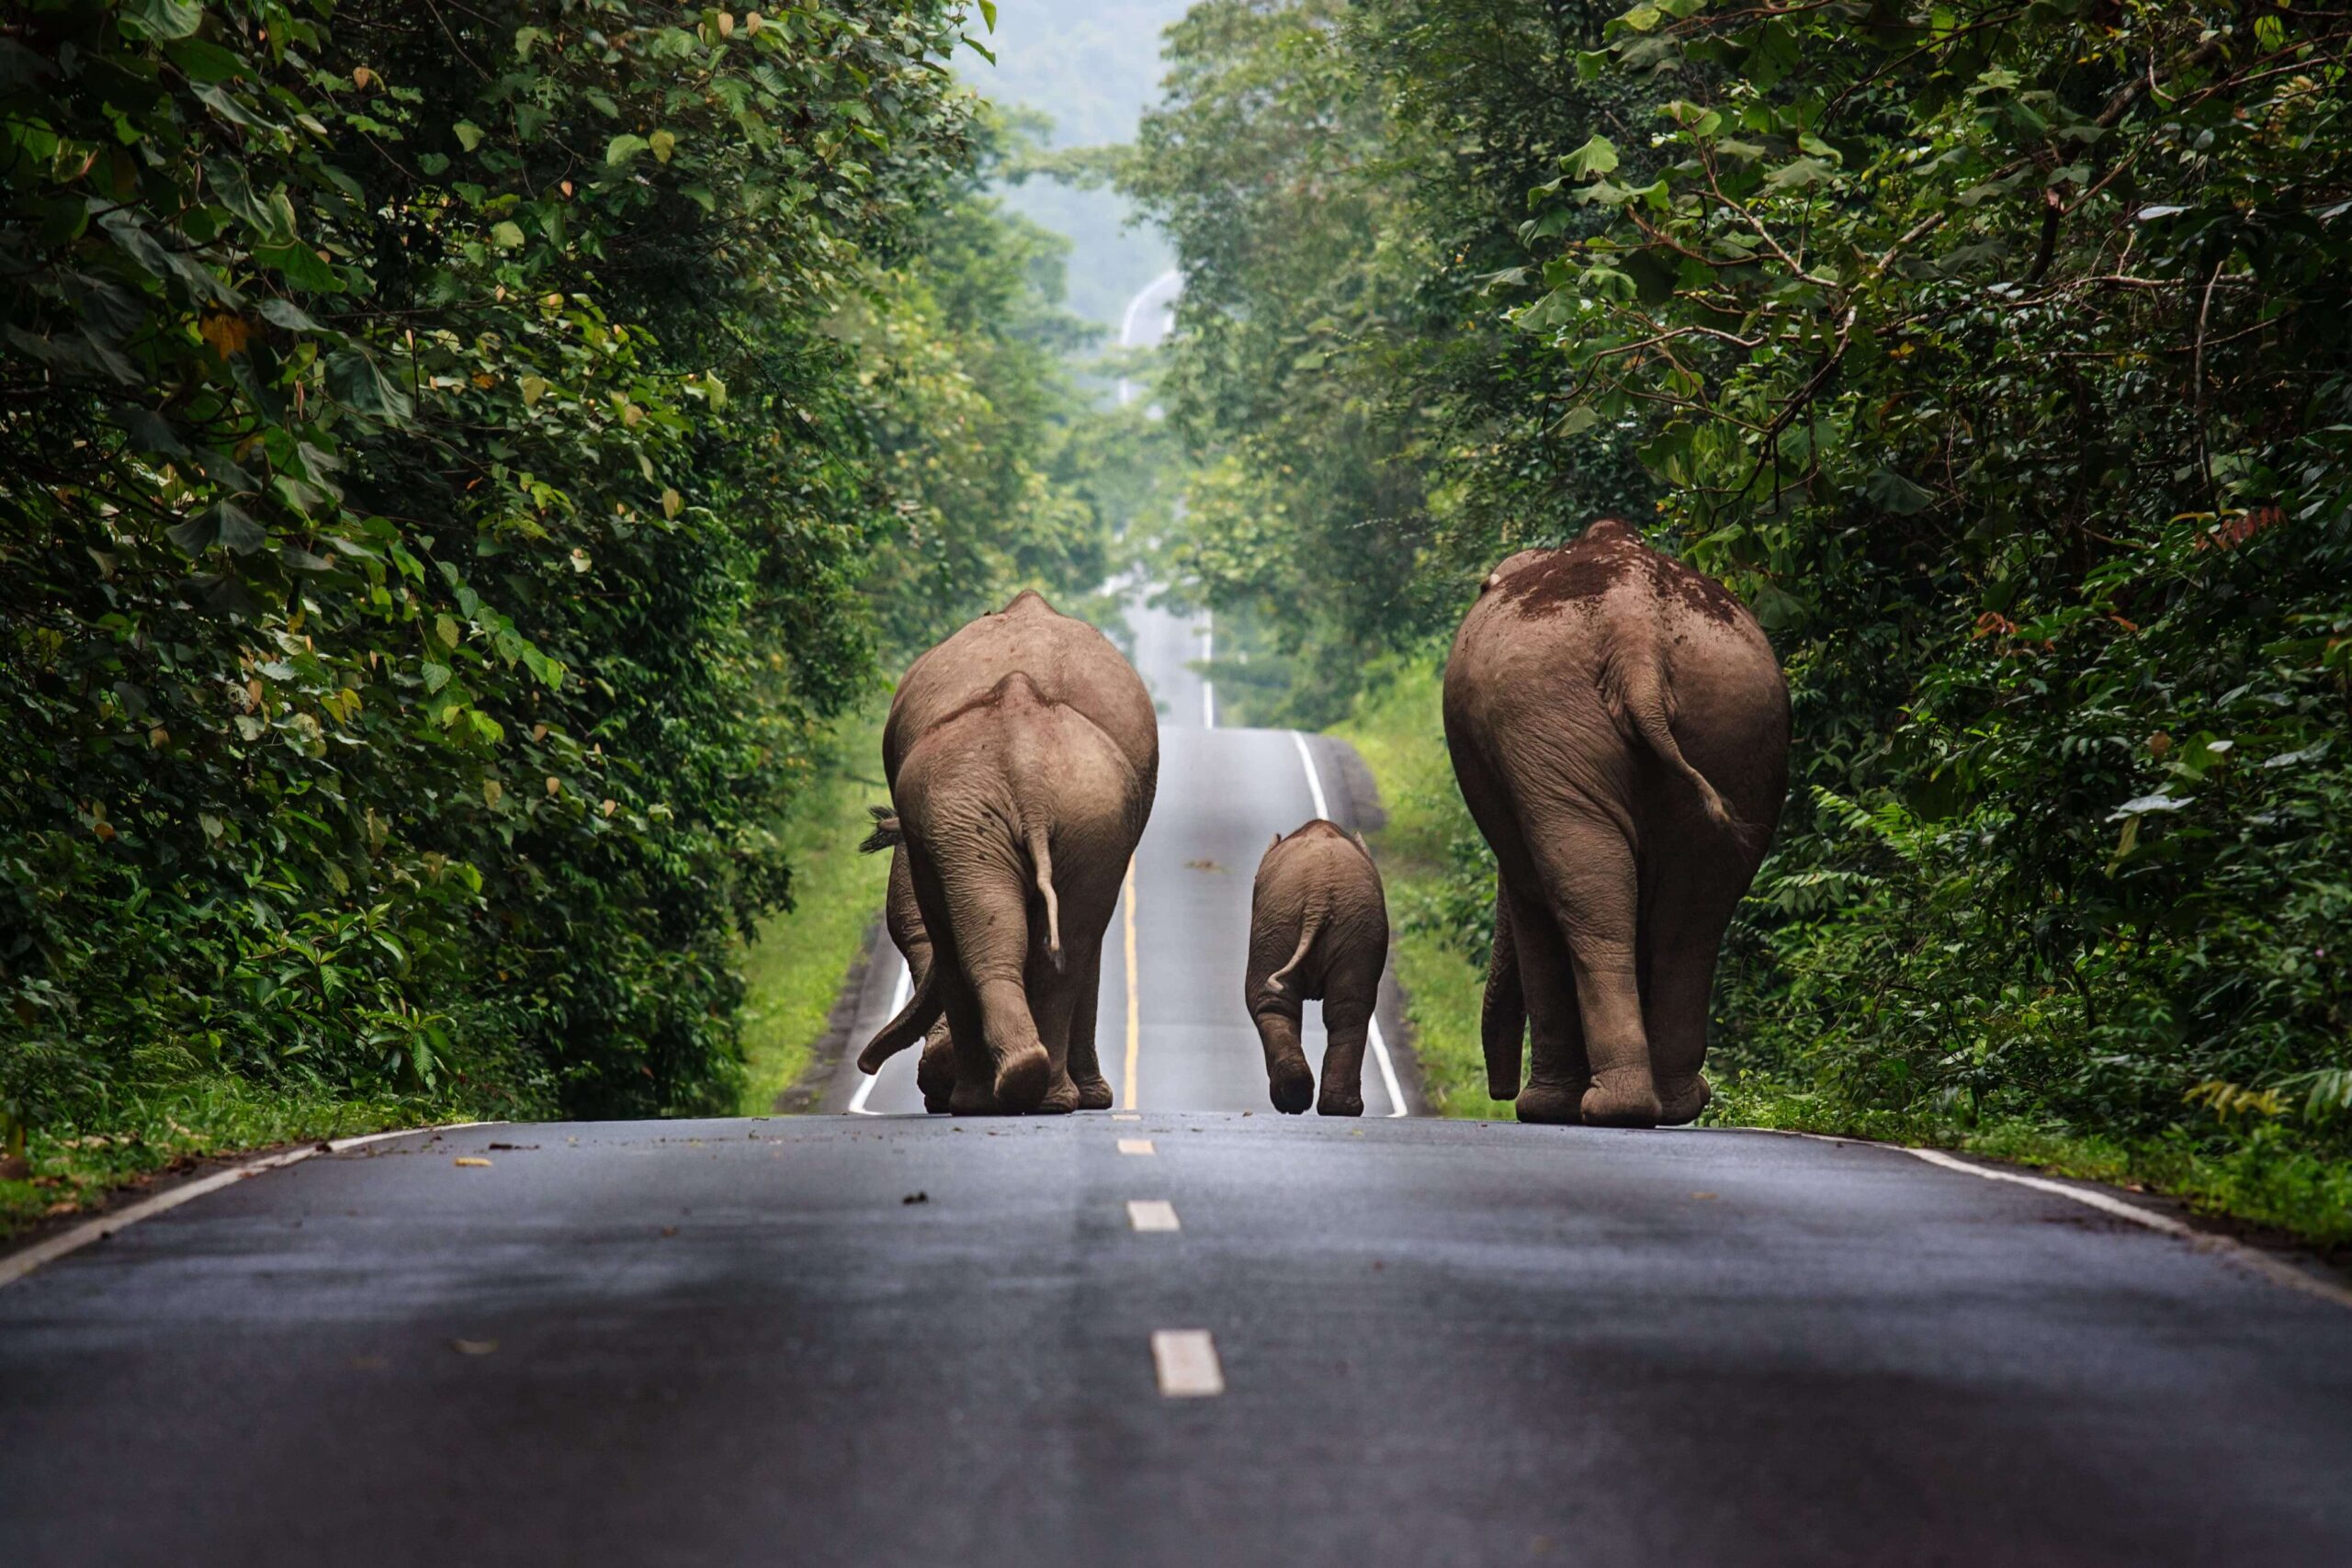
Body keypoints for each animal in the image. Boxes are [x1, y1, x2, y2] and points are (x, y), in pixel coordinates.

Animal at [1245, 819, 1390, 1117]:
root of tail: (1318, 896)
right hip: (1353, 927)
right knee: (1349, 1008)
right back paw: (1333, 1106)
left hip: (1282, 921)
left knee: (1270, 1001)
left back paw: (1298, 1100)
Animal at [1442, 517, 1789, 1128]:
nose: (1497, 1092)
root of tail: (1637, 645)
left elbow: (1530, 899)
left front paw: (1541, 1108)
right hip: (1728, 722)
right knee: (1691, 913)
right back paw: (1668, 1106)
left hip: (1556, 715)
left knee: (1595, 901)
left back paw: (1605, 1107)